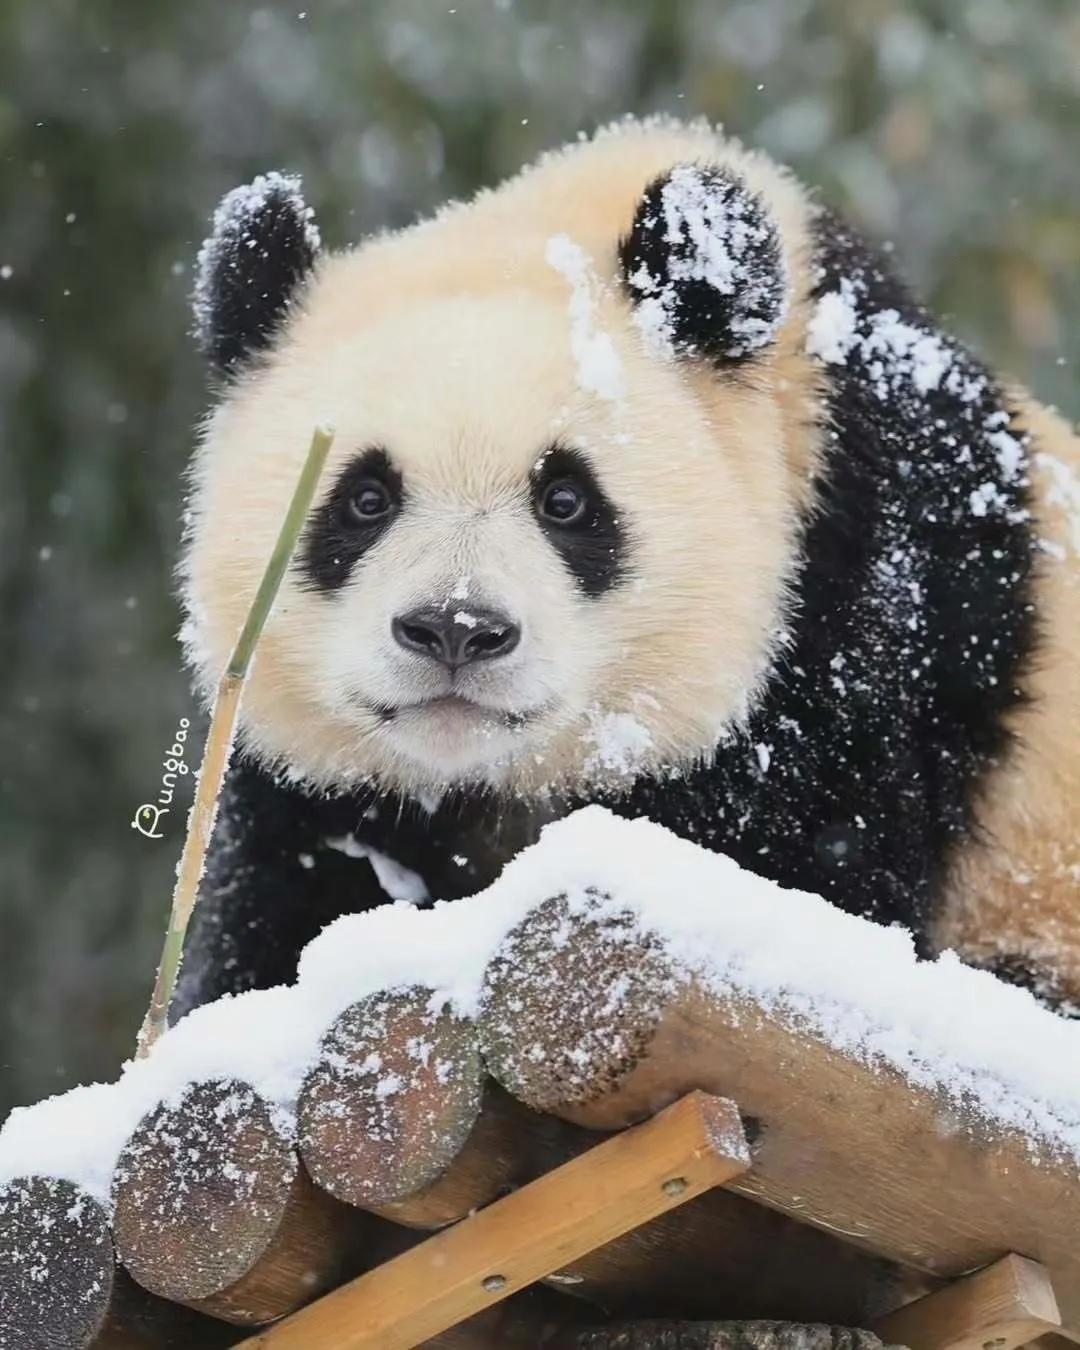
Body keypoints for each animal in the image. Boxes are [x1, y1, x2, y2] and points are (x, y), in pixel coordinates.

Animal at [172, 118, 1074, 1020]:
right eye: (365, 499)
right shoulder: (319, 798)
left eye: (566, 501)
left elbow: (820, 860)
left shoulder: (858, 613)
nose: (456, 629)